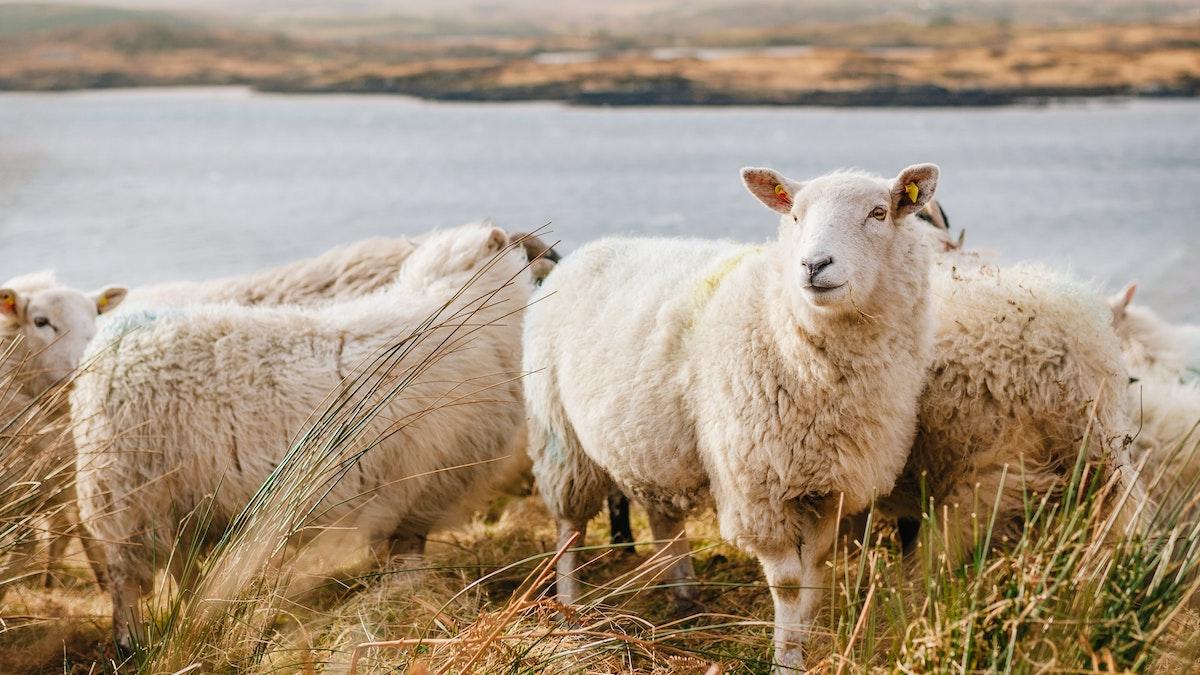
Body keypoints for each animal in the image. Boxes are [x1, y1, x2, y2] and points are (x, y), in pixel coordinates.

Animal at [72, 222, 537, 648]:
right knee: (124, 581)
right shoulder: (419, 489)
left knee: (181, 569)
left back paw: (193, 622)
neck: (463, 308)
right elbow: (408, 556)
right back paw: (131, 643)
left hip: (175, 503)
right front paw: (409, 601)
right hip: (128, 496)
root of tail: (106, 348)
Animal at [530, 162, 940, 667]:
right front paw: (787, 659)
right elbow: (788, 583)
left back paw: (686, 598)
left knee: (664, 519)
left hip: (650, 443)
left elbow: (814, 570)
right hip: (559, 435)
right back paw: (569, 611)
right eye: (795, 216)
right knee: (569, 527)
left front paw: (806, 637)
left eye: (879, 212)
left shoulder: (830, 486)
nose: (813, 266)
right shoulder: (759, 487)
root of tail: (582, 254)